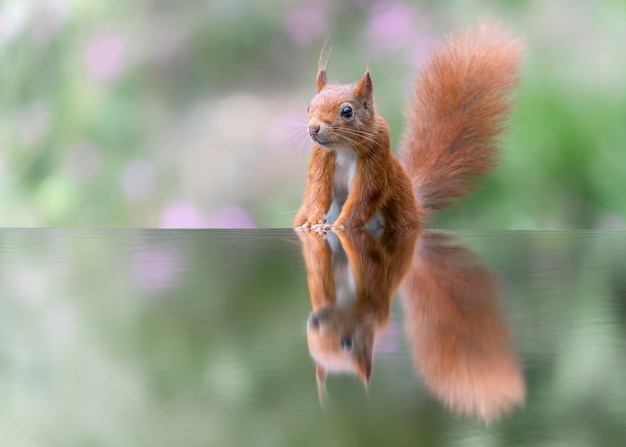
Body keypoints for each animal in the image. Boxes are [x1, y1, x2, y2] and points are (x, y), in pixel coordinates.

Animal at [292, 22, 520, 231]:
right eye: (309, 106)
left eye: (347, 111)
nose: (313, 128)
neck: (343, 148)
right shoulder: (321, 156)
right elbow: (316, 190)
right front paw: (313, 221)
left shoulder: (376, 157)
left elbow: (364, 197)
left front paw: (339, 226)